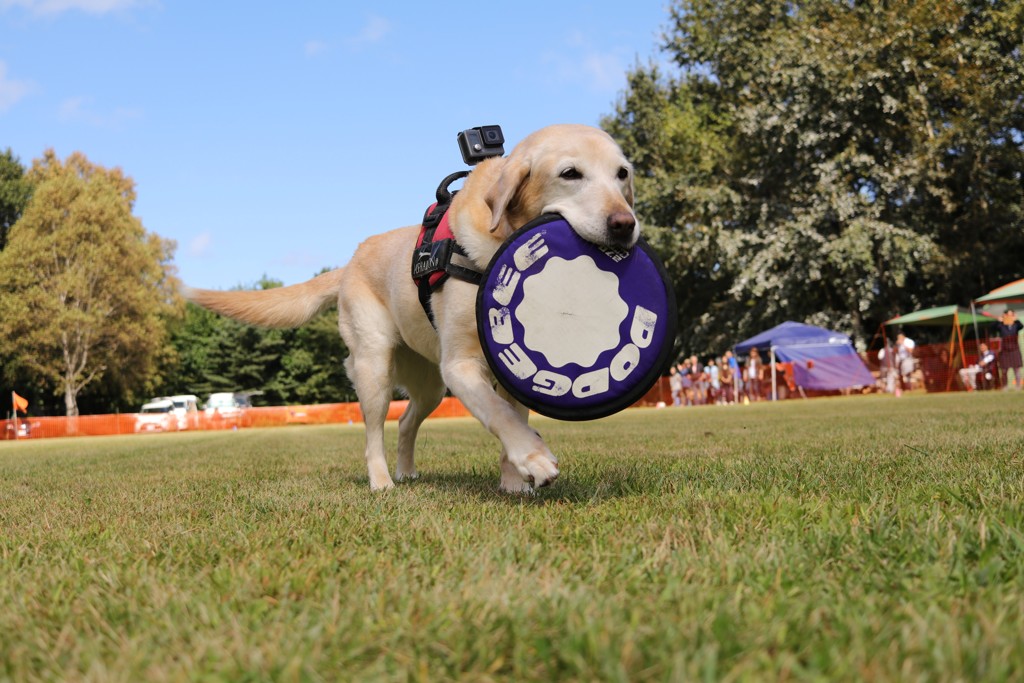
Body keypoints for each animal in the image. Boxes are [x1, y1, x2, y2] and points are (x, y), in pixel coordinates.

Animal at [183, 124, 630, 491]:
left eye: (623, 174)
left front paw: (514, 480)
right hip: (375, 367)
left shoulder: (514, 373)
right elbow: (498, 415)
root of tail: (349, 261)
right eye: (570, 174)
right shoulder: (461, 365)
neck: (498, 241)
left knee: (404, 421)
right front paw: (535, 459)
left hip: (429, 385)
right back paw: (381, 481)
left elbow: (511, 417)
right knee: (373, 433)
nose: (625, 225)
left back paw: (408, 472)